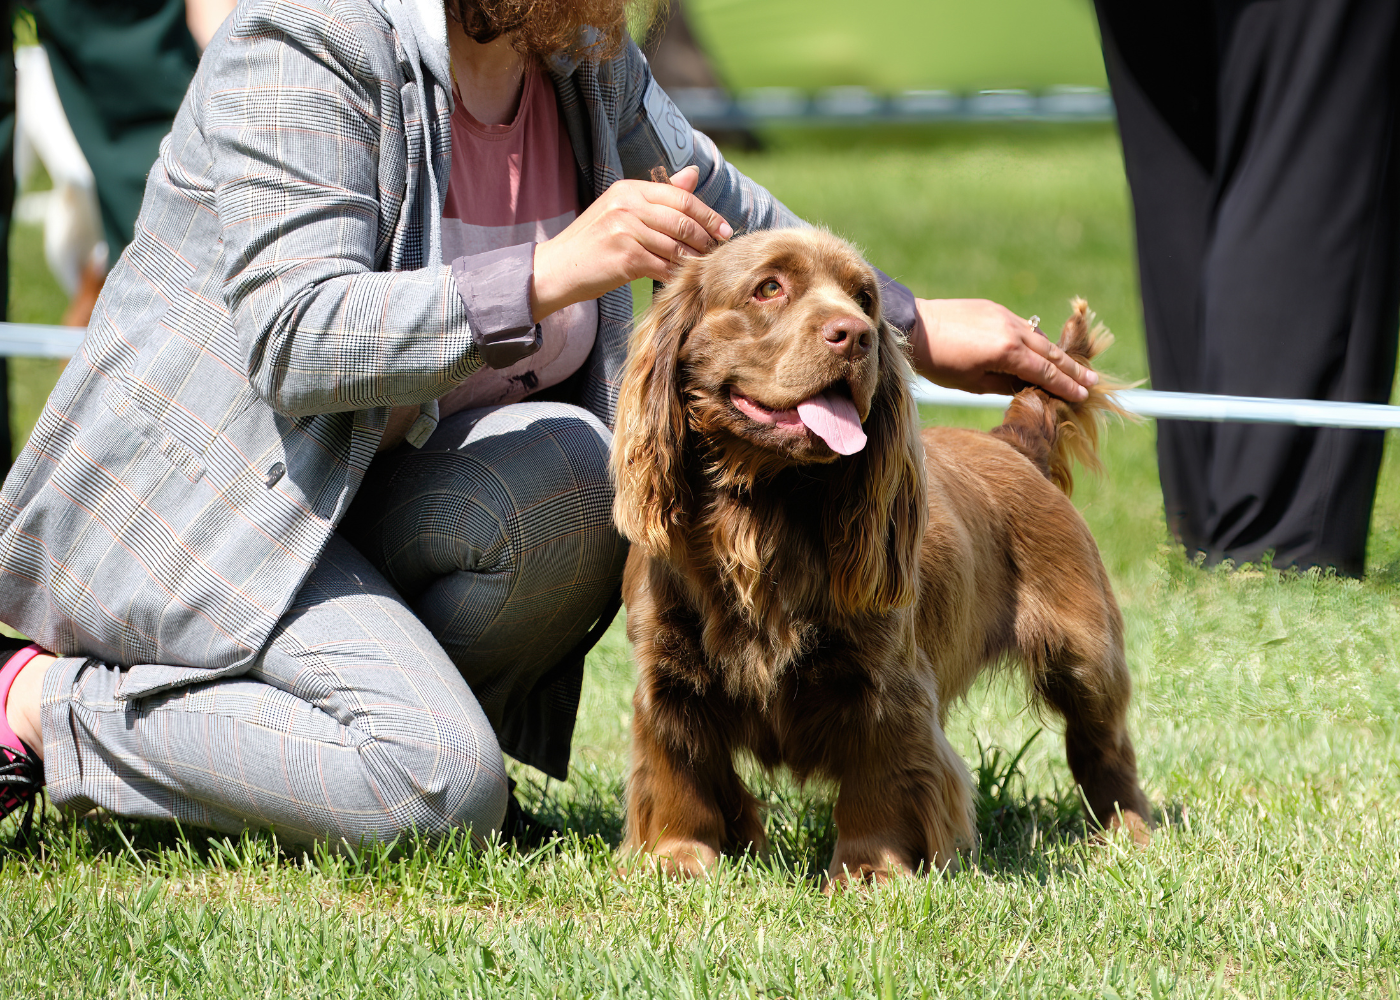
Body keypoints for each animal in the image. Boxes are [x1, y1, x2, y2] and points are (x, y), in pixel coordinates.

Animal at [610, 228, 1148, 879]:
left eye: (865, 299)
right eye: (769, 288)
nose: (857, 335)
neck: (762, 513)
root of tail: (1016, 441)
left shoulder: (886, 681)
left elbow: (881, 781)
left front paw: (870, 872)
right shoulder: (668, 674)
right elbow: (678, 770)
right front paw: (677, 862)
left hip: (1086, 651)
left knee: (1104, 745)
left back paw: (1128, 834)